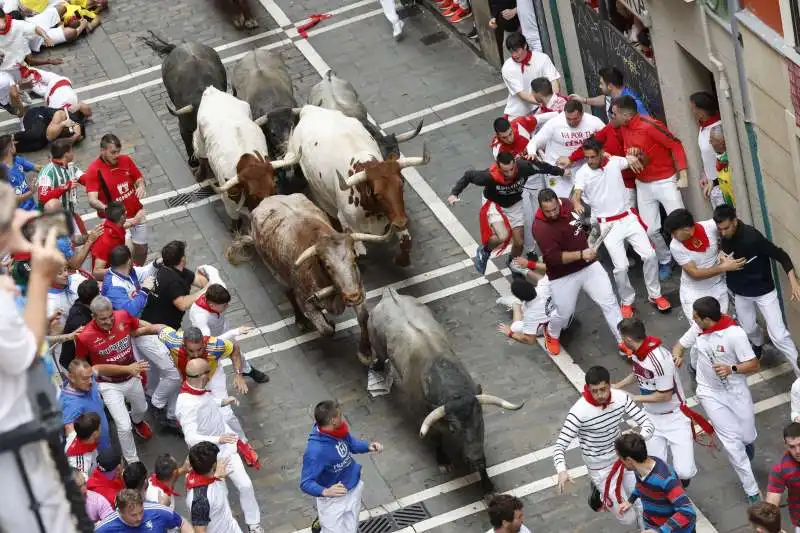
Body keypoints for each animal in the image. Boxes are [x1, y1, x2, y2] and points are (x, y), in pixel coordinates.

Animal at [191, 87, 296, 222]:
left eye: (273, 187)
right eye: (254, 194)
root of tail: (212, 90)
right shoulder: (229, 206)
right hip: (200, 141)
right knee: (200, 153)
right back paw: (199, 174)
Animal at [225, 191, 390, 362]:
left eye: (354, 258)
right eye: (327, 266)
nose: (352, 297)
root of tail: (266, 200)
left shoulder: (358, 286)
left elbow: (363, 317)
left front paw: (365, 352)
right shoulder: (308, 304)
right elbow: (325, 329)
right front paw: (328, 324)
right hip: (276, 273)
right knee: (289, 294)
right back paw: (301, 321)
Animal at [284, 105, 428, 266]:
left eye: (401, 185)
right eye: (377, 194)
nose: (402, 222)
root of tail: (308, 109)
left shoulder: (395, 215)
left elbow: (406, 241)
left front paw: (401, 260)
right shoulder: (348, 224)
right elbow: (359, 251)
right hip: (319, 194)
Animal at [368, 288, 524, 492]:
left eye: (480, 420)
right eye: (453, 428)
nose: (476, 459)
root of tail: (389, 294)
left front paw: (487, 484)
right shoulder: (422, 416)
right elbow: (436, 438)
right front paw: (443, 460)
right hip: (376, 342)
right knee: (379, 355)